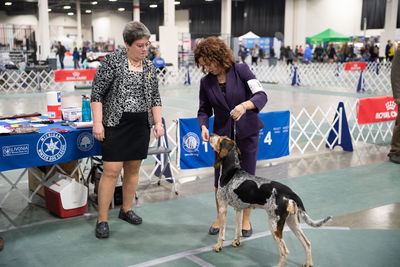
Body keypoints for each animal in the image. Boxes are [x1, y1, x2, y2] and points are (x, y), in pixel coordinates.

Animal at [209, 134, 332, 267]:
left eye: (220, 139)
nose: (211, 135)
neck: (231, 171)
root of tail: (291, 193)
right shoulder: (239, 209)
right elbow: (237, 229)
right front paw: (236, 242)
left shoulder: (223, 208)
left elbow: (221, 233)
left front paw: (218, 246)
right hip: (293, 222)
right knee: (307, 243)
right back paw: (309, 263)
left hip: (275, 226)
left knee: (285, 251)